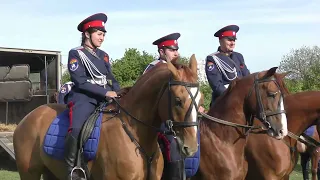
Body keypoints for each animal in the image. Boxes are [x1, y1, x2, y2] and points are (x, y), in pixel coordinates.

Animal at [13, 55, 202, 180]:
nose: (191, 147)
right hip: (29, 173)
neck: (134, 131)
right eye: (178, 101)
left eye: (200, 100)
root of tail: (27, 118)